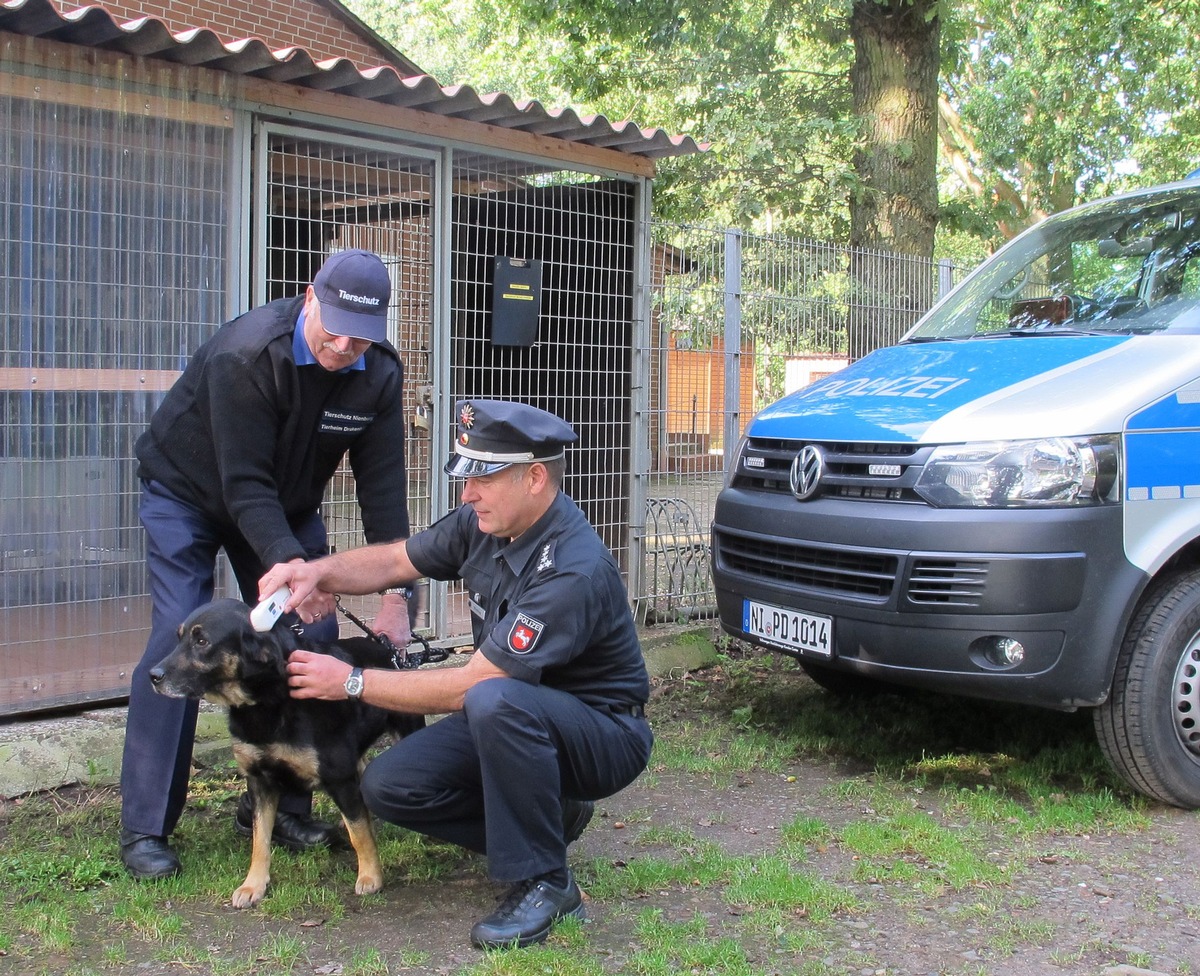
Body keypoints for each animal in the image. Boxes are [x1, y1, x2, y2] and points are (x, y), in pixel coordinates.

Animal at [150, 597, 422, 912]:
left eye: (202, 641)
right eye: (178, 638)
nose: (153, 676)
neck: (266, 701)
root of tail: (386, 649)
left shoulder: (339, 777)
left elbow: (359, 833)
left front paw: (370, 876)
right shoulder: (259, 781)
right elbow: (260, 840)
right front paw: (253, 885)